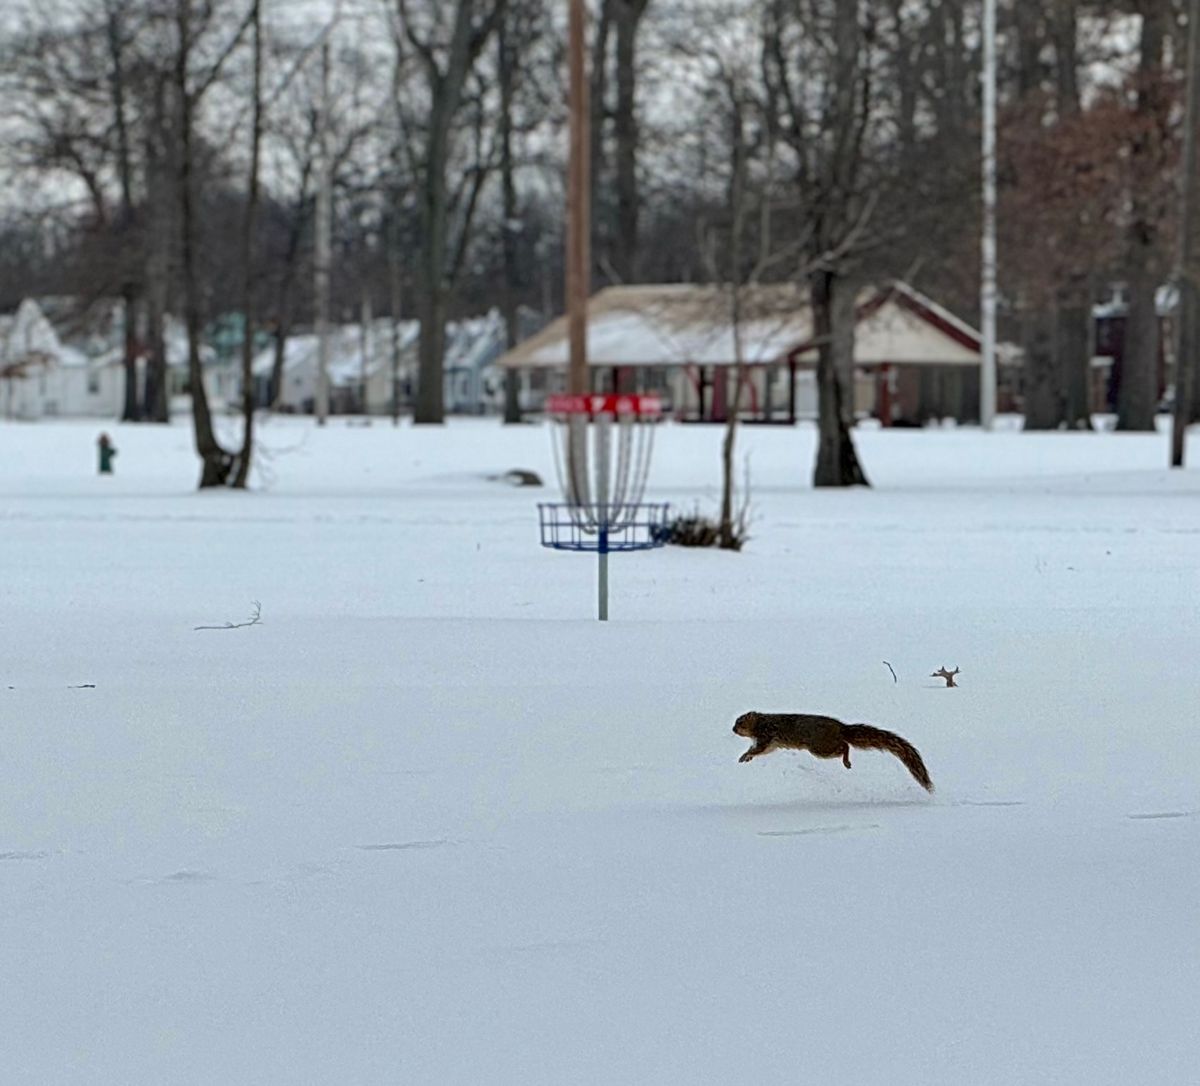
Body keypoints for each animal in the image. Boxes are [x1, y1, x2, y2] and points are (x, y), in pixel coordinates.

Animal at [733, 712, 933, 792]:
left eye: (740, 722)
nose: (733, 729)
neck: (760, 721)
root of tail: (841, 728)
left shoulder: (766, 735)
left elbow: (758, 749)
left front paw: (744, 756)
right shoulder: (770, 744)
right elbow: (762, 751)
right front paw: (747, 757)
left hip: (819, 748)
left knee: (844, 746)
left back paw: (847, 761)